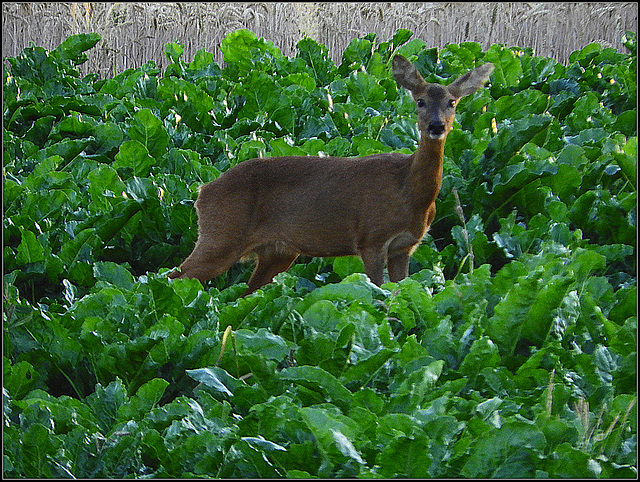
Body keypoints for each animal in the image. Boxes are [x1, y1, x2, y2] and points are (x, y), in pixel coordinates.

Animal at [170, 53, 496, 294]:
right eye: (420, 101)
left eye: (452, 102)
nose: (436, 126)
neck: (408, 192)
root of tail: (202, 192)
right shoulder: (370, 238)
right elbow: (378, 291)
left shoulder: (405, 246)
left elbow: (400, 289)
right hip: (221, 235)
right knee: (175, 275)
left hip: (276, 252)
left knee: (246, 291)